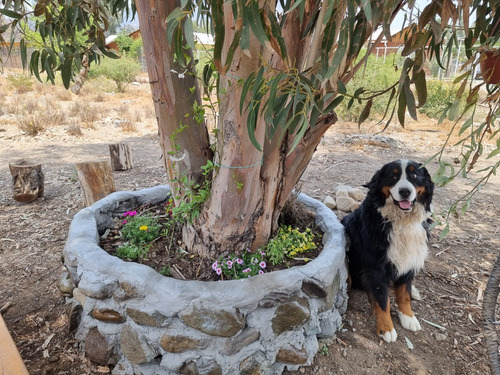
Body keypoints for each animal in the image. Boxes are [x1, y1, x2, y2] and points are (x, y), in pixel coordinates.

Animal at [342, 159, 432, 344]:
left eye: (414, 175)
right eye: (393, 176)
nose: (405, 192)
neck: (402, 222)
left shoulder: (409, 259)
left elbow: (404, 294)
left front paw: (408, 317)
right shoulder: (376, 268)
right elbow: (383, 300)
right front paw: (386, 328)